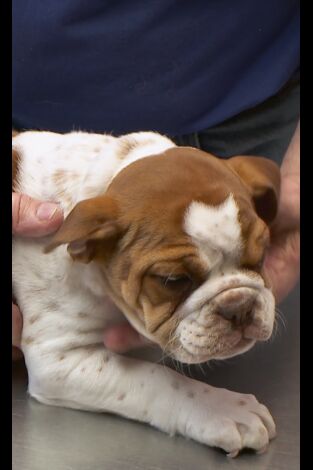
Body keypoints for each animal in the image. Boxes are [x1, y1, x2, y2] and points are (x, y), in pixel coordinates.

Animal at [13, 129, 280, 456]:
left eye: (262, 255)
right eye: (172, 280)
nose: (239, 306)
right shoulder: (57, 360)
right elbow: (159, 379)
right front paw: (222, 408)